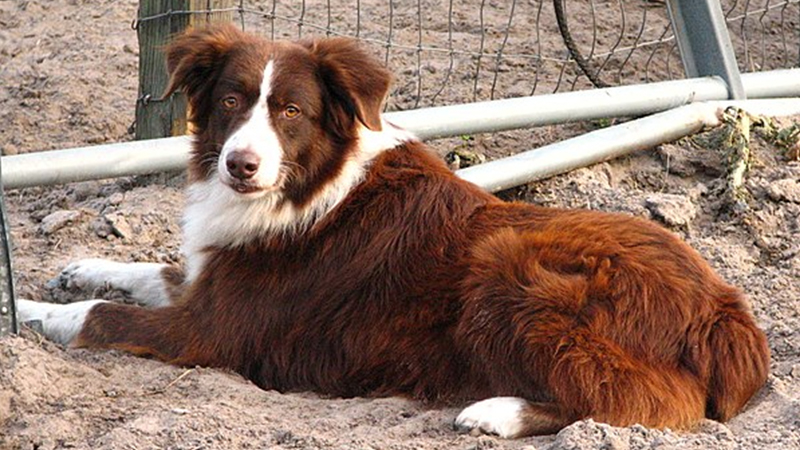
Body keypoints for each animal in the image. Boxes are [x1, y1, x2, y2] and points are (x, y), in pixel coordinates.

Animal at [17, 25, 768, 440]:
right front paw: (74, 267)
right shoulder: (209, 282)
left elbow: (96, 316)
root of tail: (726, 311)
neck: (308, 184)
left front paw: (23, 310)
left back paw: (496, 413)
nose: (240, 165)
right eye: (231, 101)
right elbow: (148, 271)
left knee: (642, 402)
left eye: (291, 111)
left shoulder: (213, 333)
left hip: (510, 270)